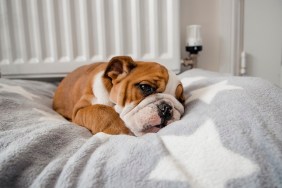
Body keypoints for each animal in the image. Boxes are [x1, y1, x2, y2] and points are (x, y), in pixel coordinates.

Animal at [53, 55, 185, 136]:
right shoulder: (80, 109)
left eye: (181, 100)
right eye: (145, 87)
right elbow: (101, 111)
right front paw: (121, 131)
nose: (167, 107)